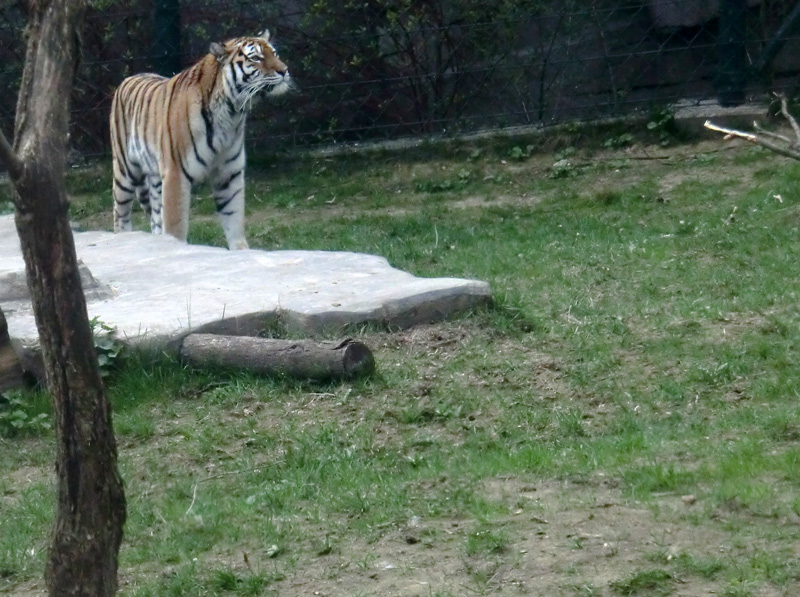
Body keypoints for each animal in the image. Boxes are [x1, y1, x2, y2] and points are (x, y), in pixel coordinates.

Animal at [109, 28, 290, 249]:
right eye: (256, 58)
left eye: (274, 53)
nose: (284, 71)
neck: (231, 113)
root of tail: (128, 78)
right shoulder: (175, 174)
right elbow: (176, 226)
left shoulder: (229, 174)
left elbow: (234, 220)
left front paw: (241, 250)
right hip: (125, 171)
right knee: (120, 213)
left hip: (155, 178)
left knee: (156, 218)